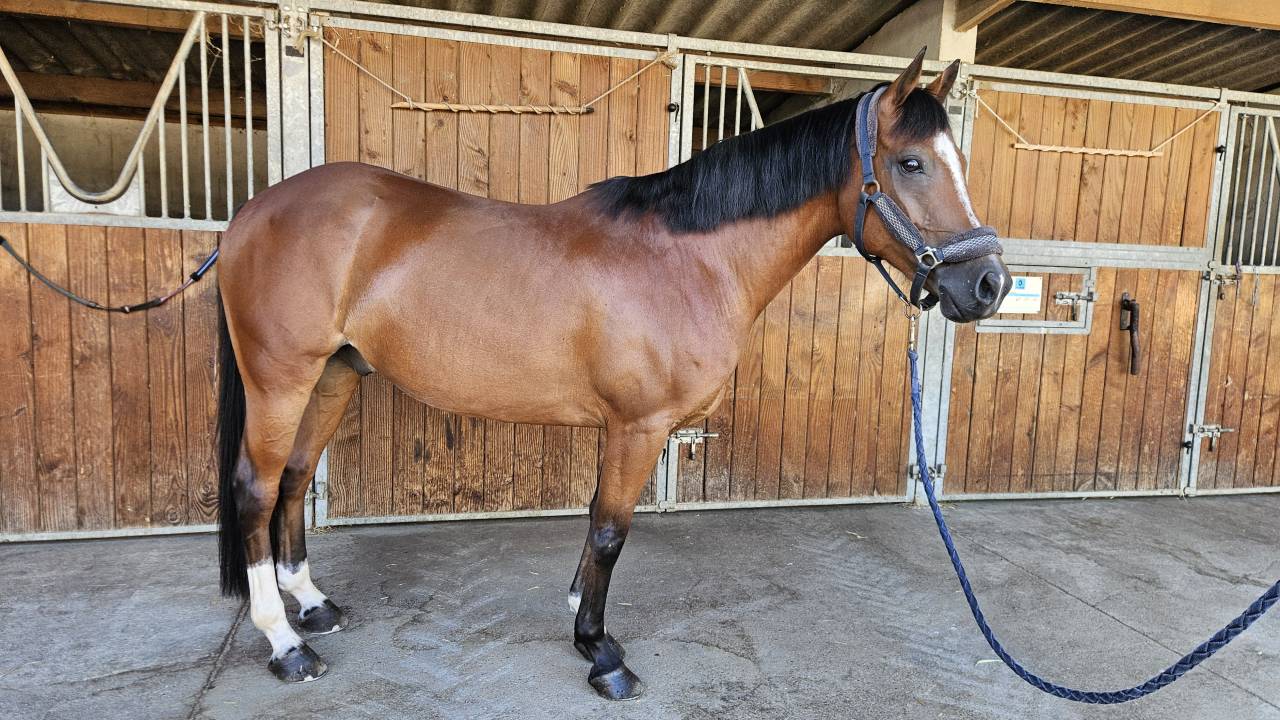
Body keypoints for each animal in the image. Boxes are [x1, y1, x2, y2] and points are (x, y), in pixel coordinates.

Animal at [214, 48, 1010, 700]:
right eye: (911, 164)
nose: (989, 285)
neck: (689, 258)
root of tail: (251, 214)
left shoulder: (622, 428)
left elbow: (598, 517)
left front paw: (579, 615)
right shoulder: (639, 425)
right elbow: (609, 531)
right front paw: (601, 653)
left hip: (334, 375)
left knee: (294, 478)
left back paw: (313, 605)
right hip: (281, 379)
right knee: (256, 489)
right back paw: (285, 643)